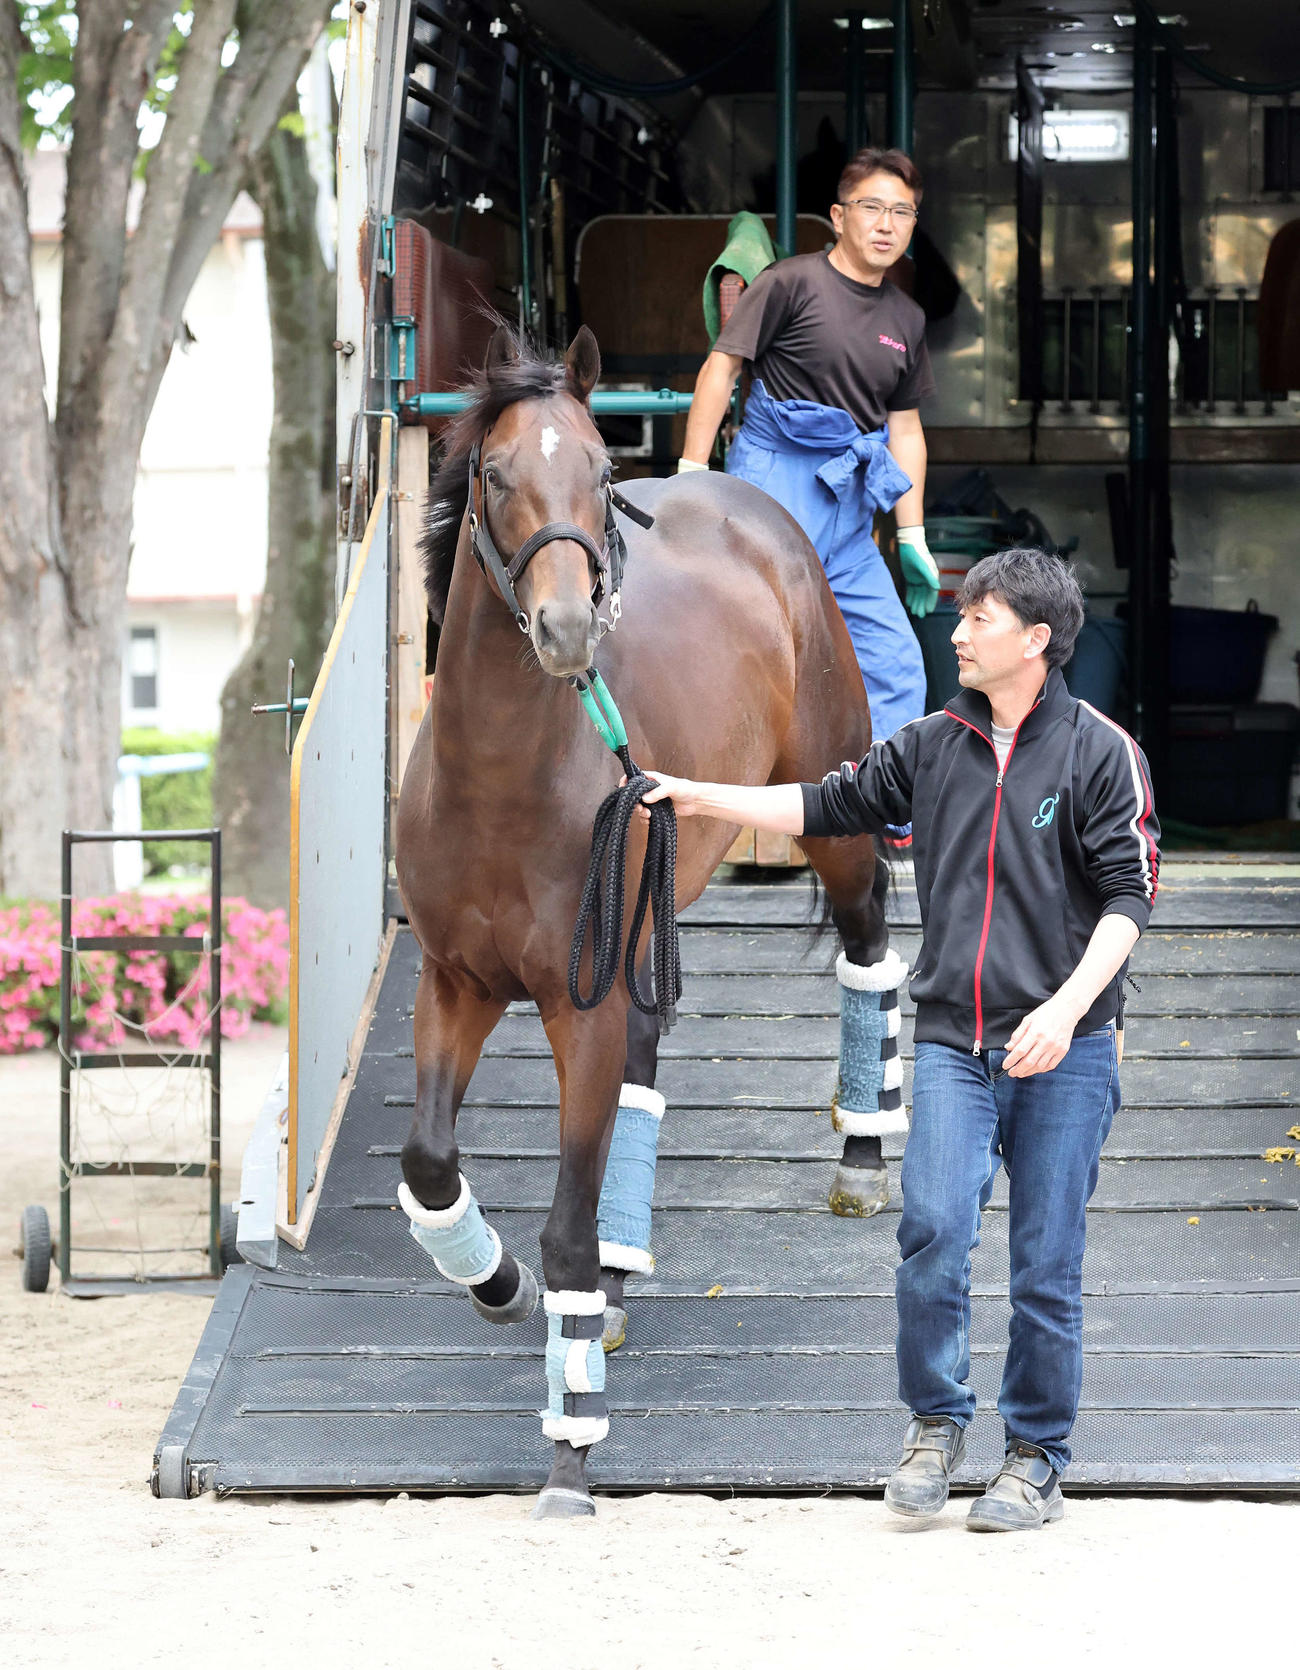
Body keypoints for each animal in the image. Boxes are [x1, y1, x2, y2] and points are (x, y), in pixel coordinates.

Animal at [394, 324, 908, 1518]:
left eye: (598, 472)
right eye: (495, 474)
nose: (567, 625)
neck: (500, 780)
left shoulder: (574, 1005)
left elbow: (565, 1228)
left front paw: (568, 1456)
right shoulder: (455, 982)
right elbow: (430, 1162)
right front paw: (495, 1282)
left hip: (832, 816)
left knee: (868, 945)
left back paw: (864, 1156)